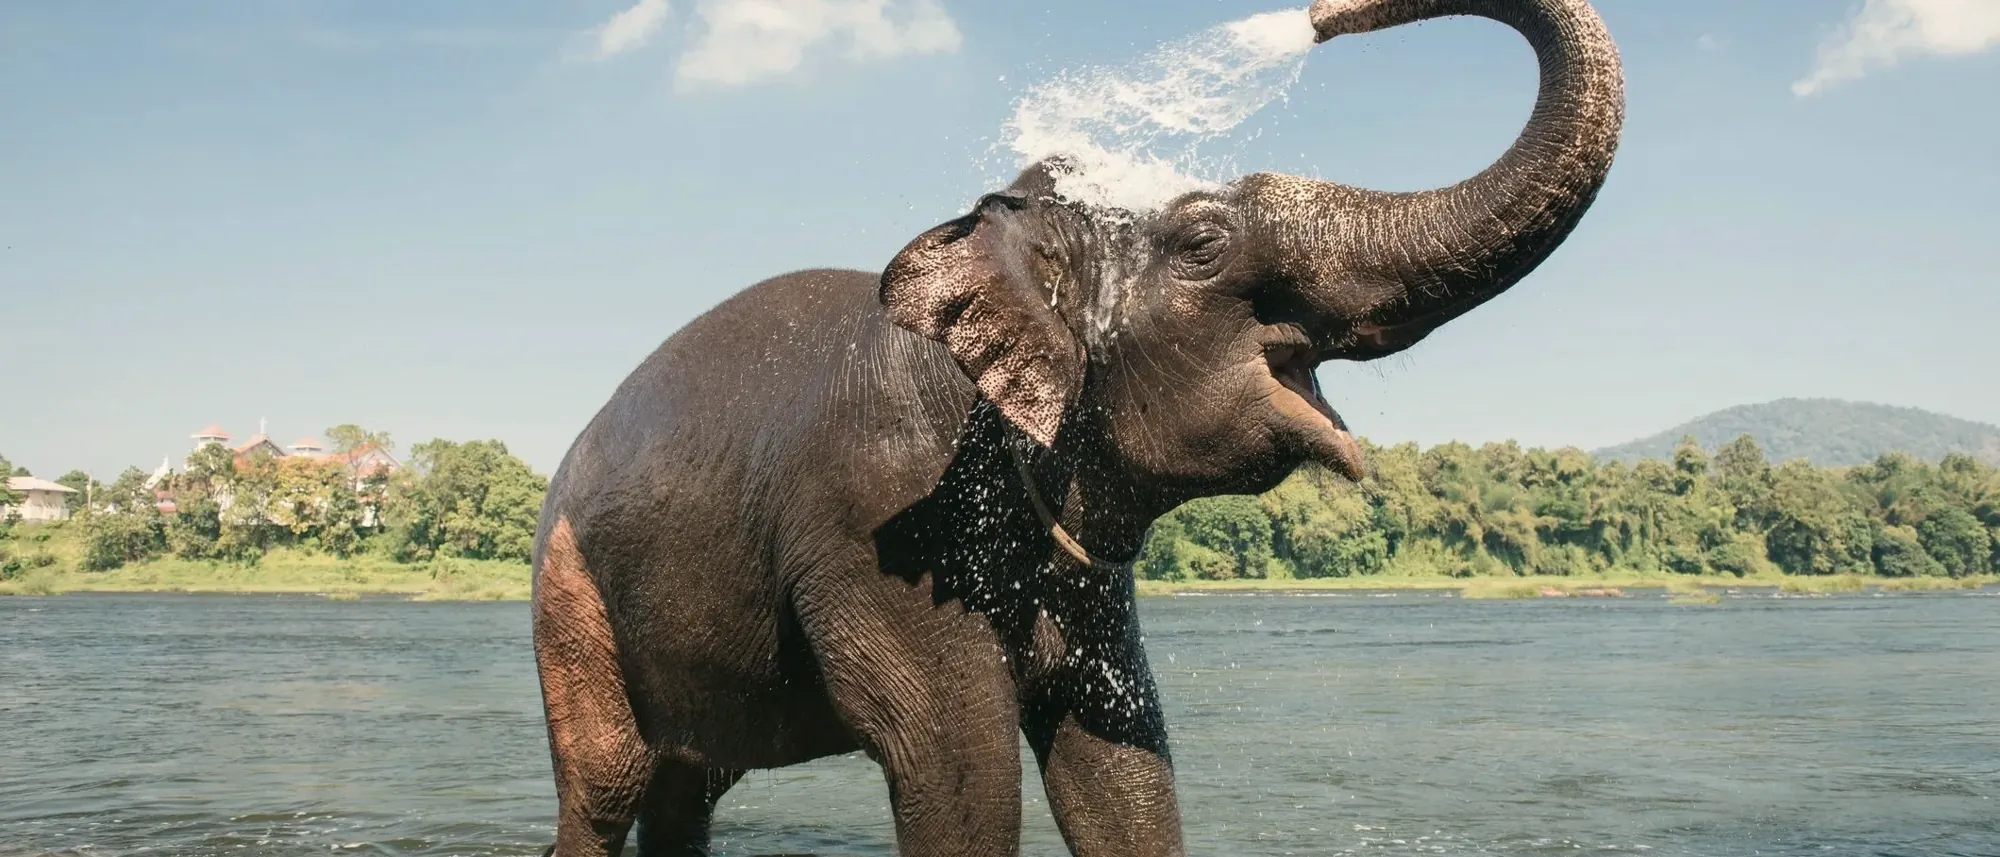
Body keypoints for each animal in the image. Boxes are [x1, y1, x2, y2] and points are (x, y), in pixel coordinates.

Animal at [528, 0, 1624, 854]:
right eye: (1203, 241)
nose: (1324, 16)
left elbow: (1118, 763)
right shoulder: (876, 522)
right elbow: (955, 769)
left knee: (686, 787)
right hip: (565, 590)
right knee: (610, 783)